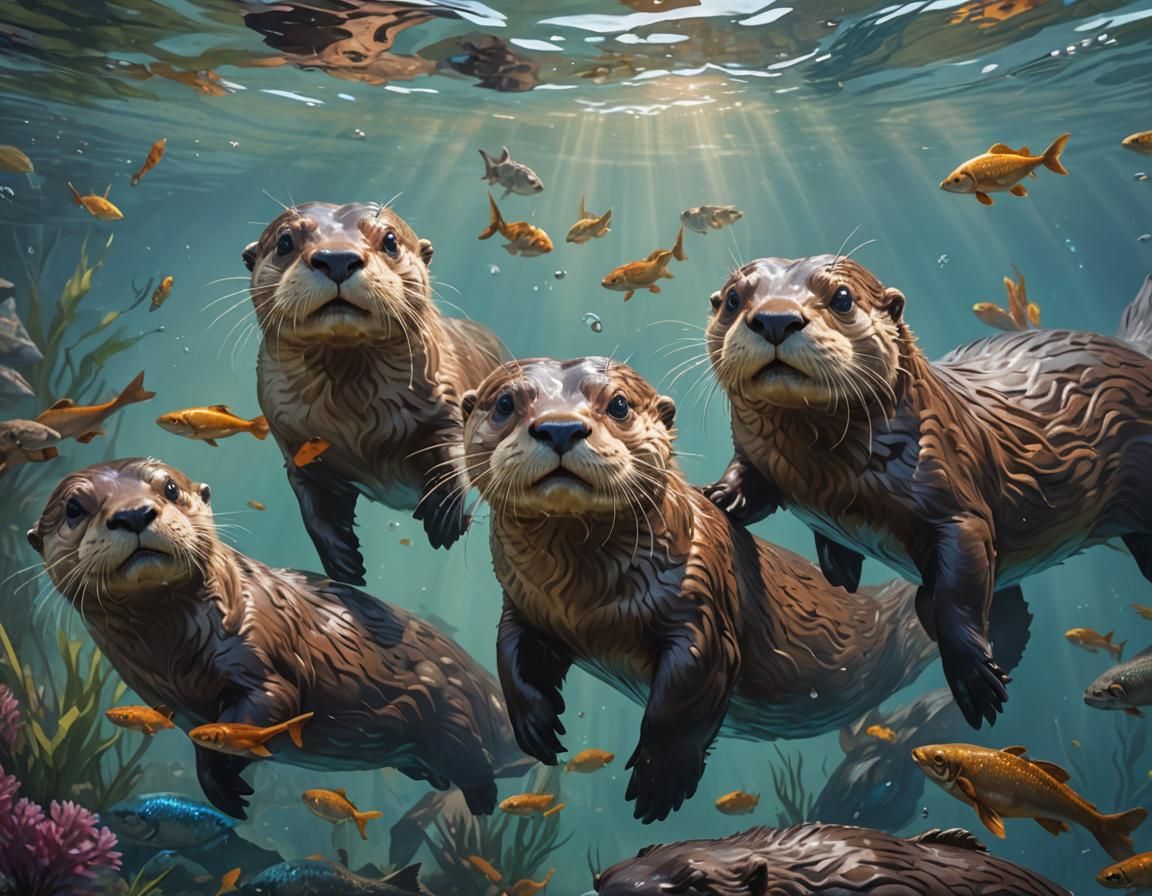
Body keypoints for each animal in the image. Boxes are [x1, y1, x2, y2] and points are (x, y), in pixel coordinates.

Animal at [28, 459, 531, 820]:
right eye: (74, 508)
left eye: (169, 488)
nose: (133, 513)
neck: (174, 658)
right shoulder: (181, 710)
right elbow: (205, 744)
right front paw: (224, 788)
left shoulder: (256, 647)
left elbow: (272, 701)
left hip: (449, 701)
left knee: (472, 752)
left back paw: (483, 794)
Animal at [245, 202, 506, 584]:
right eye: (285, 242)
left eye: (391, 240)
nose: (337, 258)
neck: (360, 424)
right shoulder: (295, 444)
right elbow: (314, 509)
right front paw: (343, 563)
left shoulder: (446, 402)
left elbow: (453, 452)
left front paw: (444, 517)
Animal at [458, 356, 1030, 823]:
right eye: (505, 403)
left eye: (617, 404)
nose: (560, 427)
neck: (587, 603)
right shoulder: (524, 602)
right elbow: (509, 651)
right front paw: (536, 724)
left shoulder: (701, 598)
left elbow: (685, 694)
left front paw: (660, 779)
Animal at [704, 257, 1152, 729]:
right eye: (733, 299)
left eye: (842, 298)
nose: (775, 318)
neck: (827, 478)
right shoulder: (765, 461)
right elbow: (750, 479)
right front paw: (721, 496)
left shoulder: (954, 494)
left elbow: (959, 591)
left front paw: (973, 679)